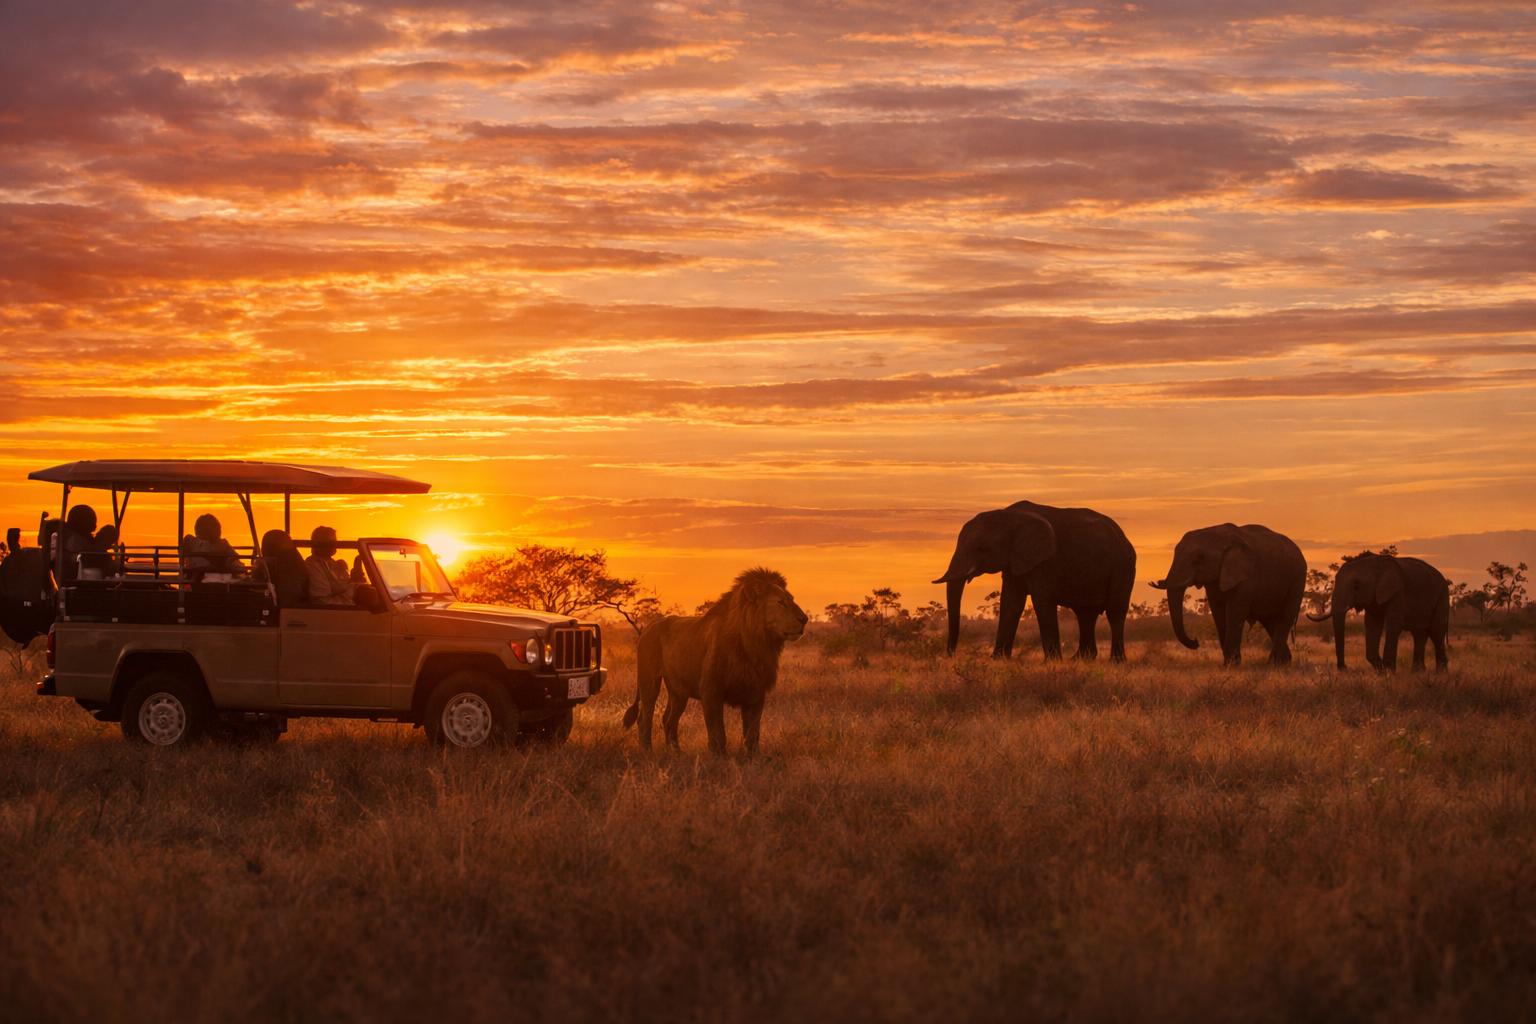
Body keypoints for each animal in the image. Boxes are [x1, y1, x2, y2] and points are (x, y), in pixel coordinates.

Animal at [622, 567, 808, 755]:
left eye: (792, 599)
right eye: (780, 602)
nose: (804, 619)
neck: (754, 644)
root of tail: (648, 626)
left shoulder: (756, 694)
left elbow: (752, 733)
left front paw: (753, 758)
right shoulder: (711, 692)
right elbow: (718, 733)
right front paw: (718, 758)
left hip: (678, 691)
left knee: (668, 719)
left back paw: (676, 753)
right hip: (649, 681)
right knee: (644, 718)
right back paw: (647, 752)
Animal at [932, 501, 1136, 660]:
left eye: (981, 548)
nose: (951, 655)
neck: (1008, 516)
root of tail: (1124, 538)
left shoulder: (1044, 561)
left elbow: (1041, 601)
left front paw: (1052, 662)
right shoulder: (1014, 560)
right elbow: (1011, 603)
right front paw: (997, 659)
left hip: (1122, 566)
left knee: (1115, 611)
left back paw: (1116, 661)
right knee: (1085, 614)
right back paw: (1080, 659)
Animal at [1149, 523, 1306, 666]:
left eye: (1200, 558)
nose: (1196, 641)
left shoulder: (1245, 577)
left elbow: (1234, 611)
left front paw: (1231, 665)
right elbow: (1218, 612)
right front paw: (1228, 664)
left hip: (1298, 579)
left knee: (1285, 616)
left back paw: (1275, 663)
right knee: (1270, 621)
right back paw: (1284, 662)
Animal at [1307, 554, 1449, 671]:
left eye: (1356, 585)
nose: (1345, 668)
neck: (1375, 563)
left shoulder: (1397, 592)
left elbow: (1393, 625)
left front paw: (1389, 671)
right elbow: (1373, 625)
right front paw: (1382, 670)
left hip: (1442, 596)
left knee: (1436, 633)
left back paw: (1440, 673)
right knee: (1419, 634)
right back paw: (1418, 672)